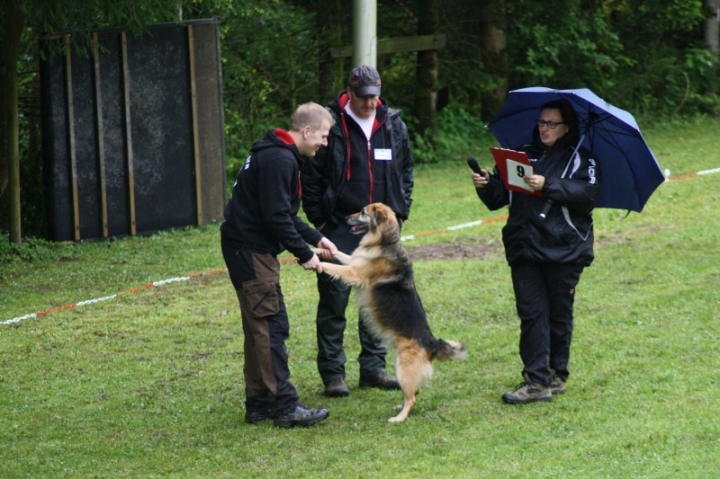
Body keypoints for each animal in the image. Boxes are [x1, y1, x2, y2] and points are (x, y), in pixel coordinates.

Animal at [316, 202, 466, 424]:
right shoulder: (352, 261)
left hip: (403, 368)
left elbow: (332, 266)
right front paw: (315, 249)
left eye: (362, 212)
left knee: (412, 398)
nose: (344, 218)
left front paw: (315, 261)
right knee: (413, 393)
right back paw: (399, 407)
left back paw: (399, 417)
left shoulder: (355, 273)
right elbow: (337, 253)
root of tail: (431, 343)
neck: (385, 241)